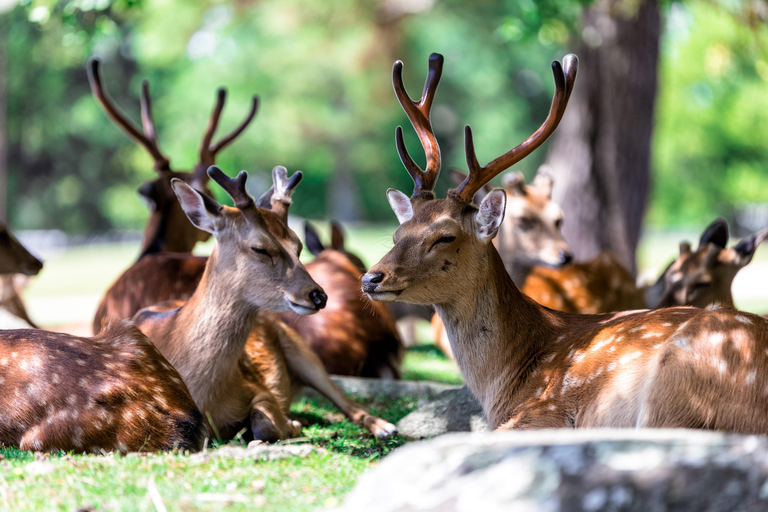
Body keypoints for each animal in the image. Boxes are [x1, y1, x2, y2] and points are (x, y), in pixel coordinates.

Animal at [131, 166, 396, 442]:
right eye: (260, 248)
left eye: (298, 246)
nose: (318, 296)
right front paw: (293, 423)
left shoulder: (259, 389)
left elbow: (264, 423)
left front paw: (290, 424)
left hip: (303, 351)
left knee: (346, 401)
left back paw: (385, 427)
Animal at [362, 53, 768, 436]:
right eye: (397, 234)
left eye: (445, 236)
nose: (370, 278)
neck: (504, 381)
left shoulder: (550, 411)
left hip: (674, 385)